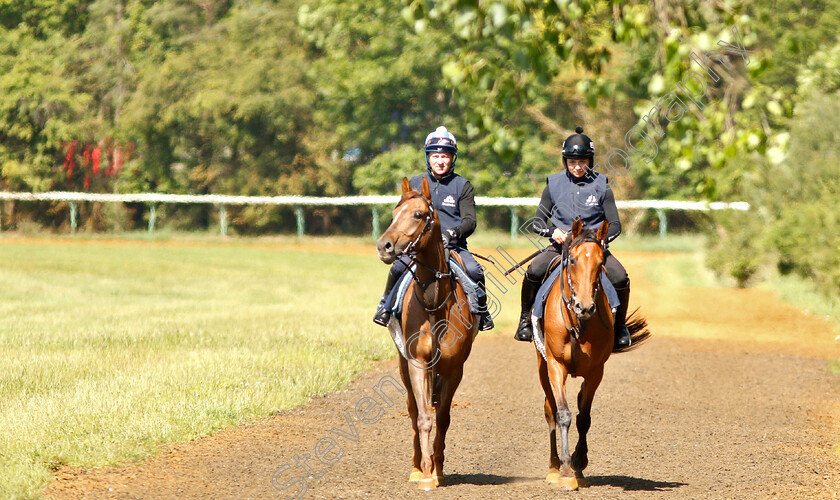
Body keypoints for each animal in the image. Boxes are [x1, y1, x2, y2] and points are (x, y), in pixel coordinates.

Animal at [376, 178, 480, 490]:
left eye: (418, 214)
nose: (384, 245)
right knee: (412, 410)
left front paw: (438, 469)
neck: (434, 302)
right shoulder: (417, 364)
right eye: (394, 212)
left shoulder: (453, 368)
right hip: (402, 365)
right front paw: (424, 473)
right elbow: (422, 417)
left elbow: (443, 417)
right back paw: (416, 467)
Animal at [540, 218, 648, 488]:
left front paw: (578, 464)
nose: (585, 307)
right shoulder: (555, 365)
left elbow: (584, 417)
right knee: (549, 410)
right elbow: (563, 414)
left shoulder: (596, 371)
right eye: (573, 260)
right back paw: (553, 467)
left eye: (600, 263)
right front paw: (566, 471)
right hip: (542, 366)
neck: (579, 323)